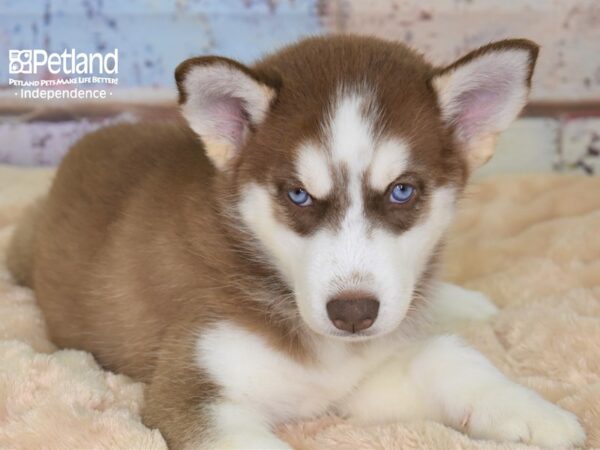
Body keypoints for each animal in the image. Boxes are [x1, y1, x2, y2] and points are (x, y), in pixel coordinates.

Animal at [5, 36, 584, 450]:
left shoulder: (366, 379)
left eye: (402, 191)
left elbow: (450, 358)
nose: (353, 313)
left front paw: (538, 413)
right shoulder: (194, 388)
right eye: (299, 195)